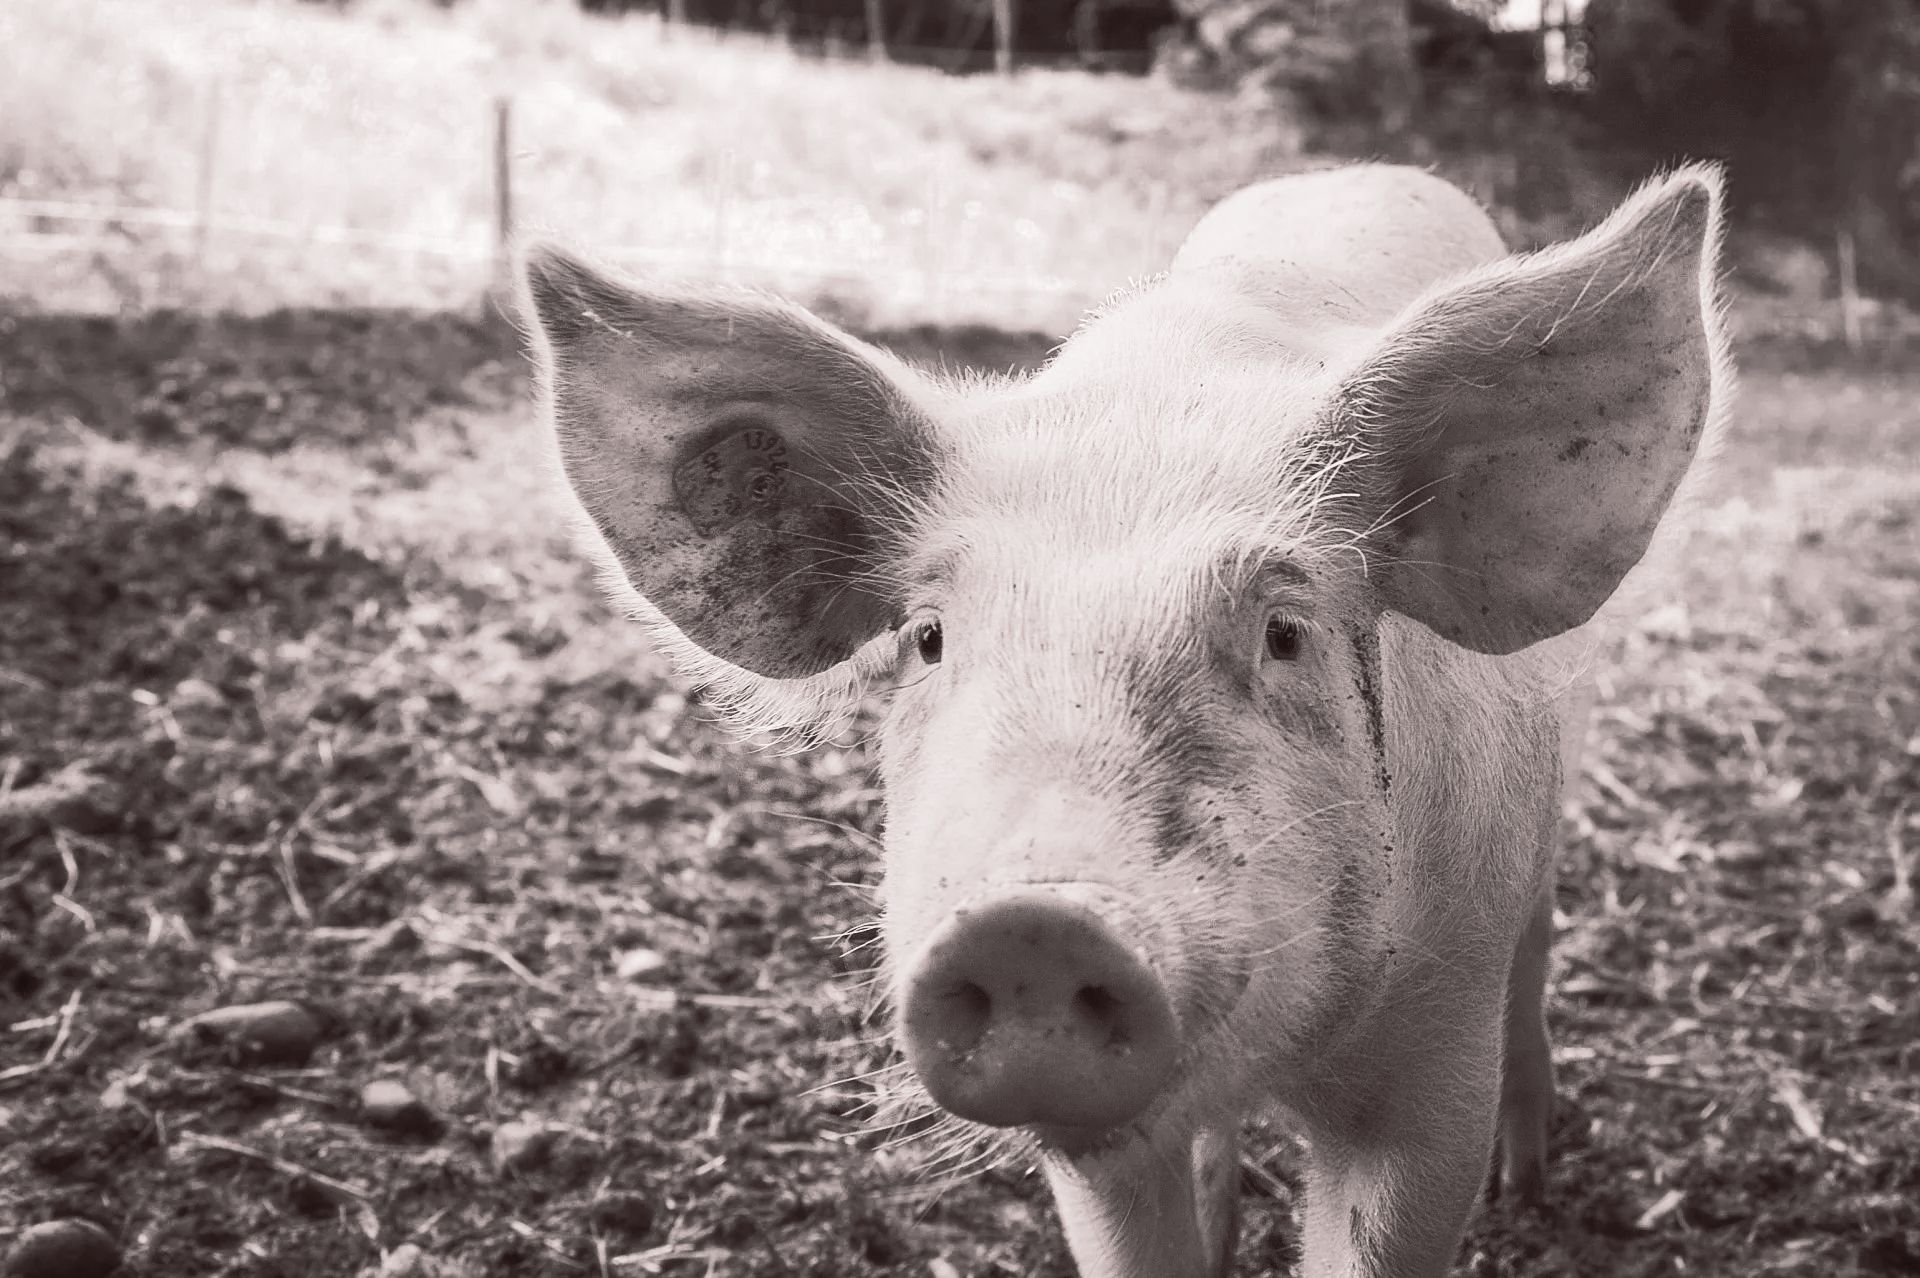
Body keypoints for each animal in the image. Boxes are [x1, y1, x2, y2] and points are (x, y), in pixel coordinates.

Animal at [518, 162, 1731, 1278]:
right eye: (930, 638)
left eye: (1285, 632)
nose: (1033, 927)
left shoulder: (1435, 1057)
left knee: (1538, 946)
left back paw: (1532, 1181)